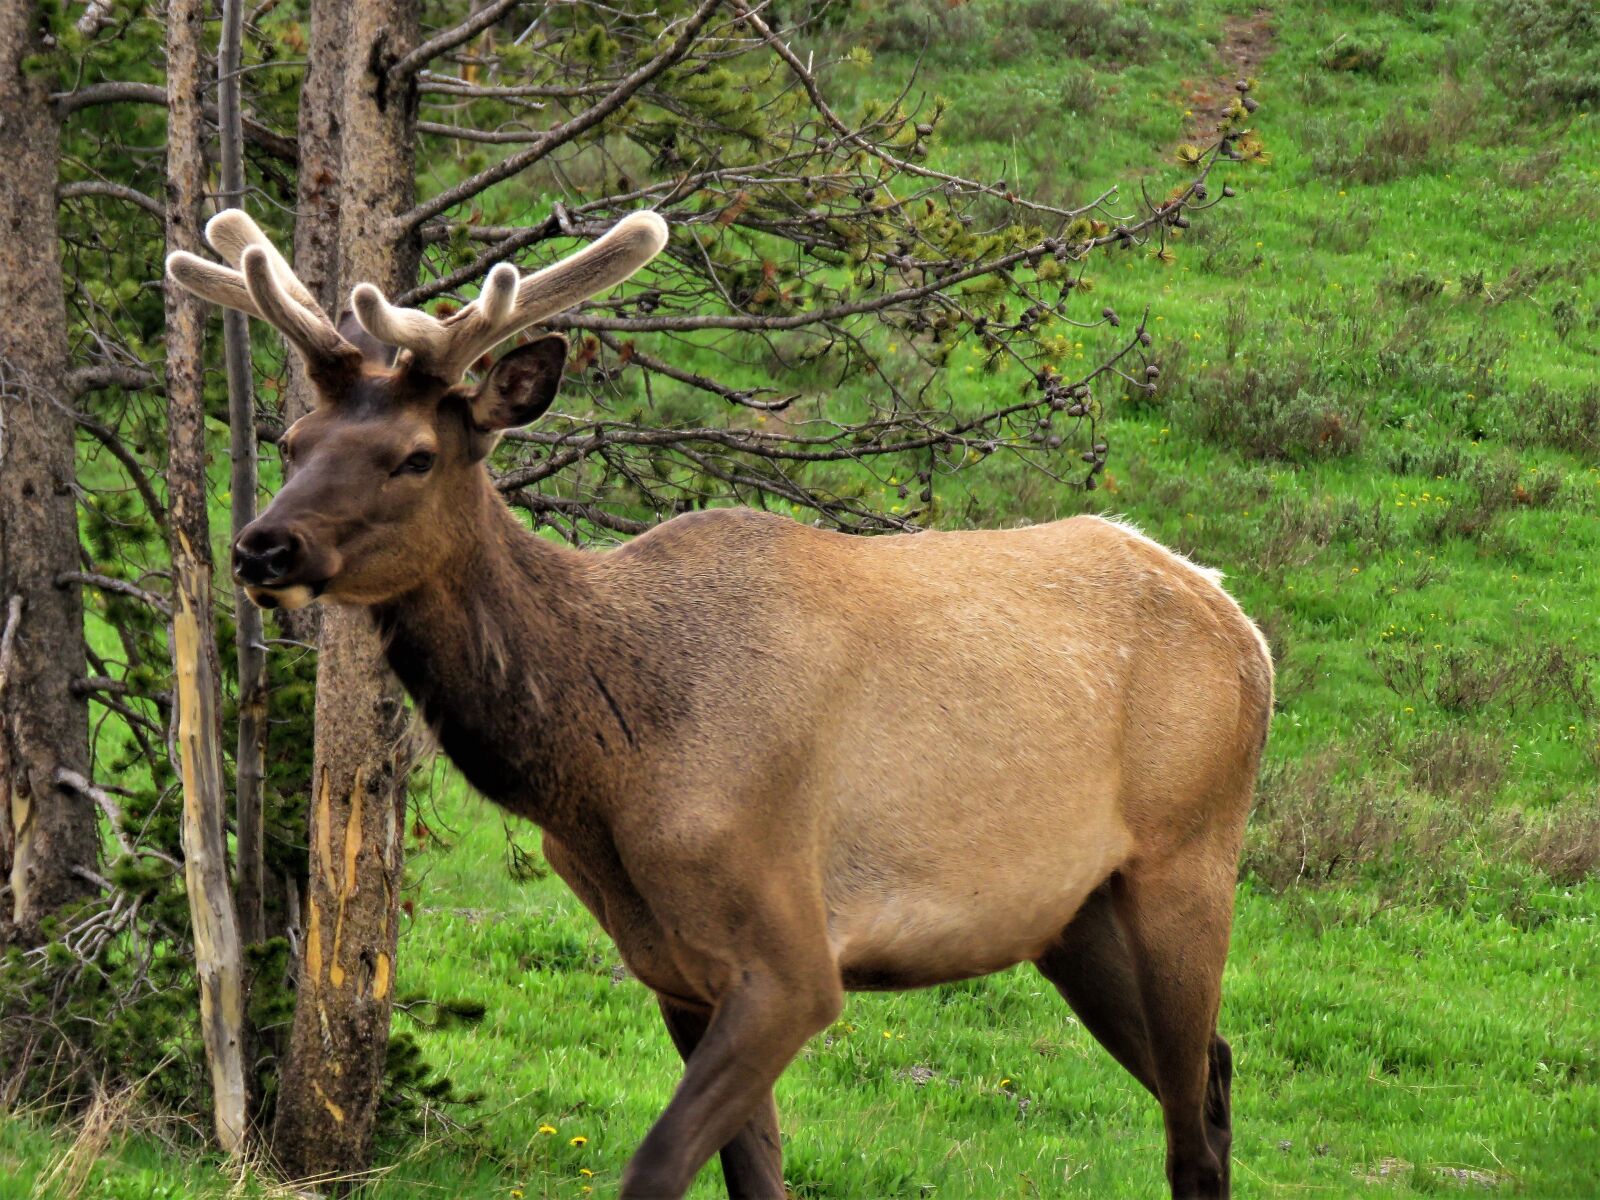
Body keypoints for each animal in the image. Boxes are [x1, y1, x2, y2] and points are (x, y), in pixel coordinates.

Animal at [165, 208, 1273, 1200]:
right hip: (1072, 916)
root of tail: (1240, 623)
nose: (262, 547)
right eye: (294, 437)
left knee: (1191, 1119)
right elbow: (753, 1179)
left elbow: (657, 1168)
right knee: (1215, 1078)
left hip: (1188, 856)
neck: (606, 770)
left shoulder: (792, 956)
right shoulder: (675, 970)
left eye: (415, 454)